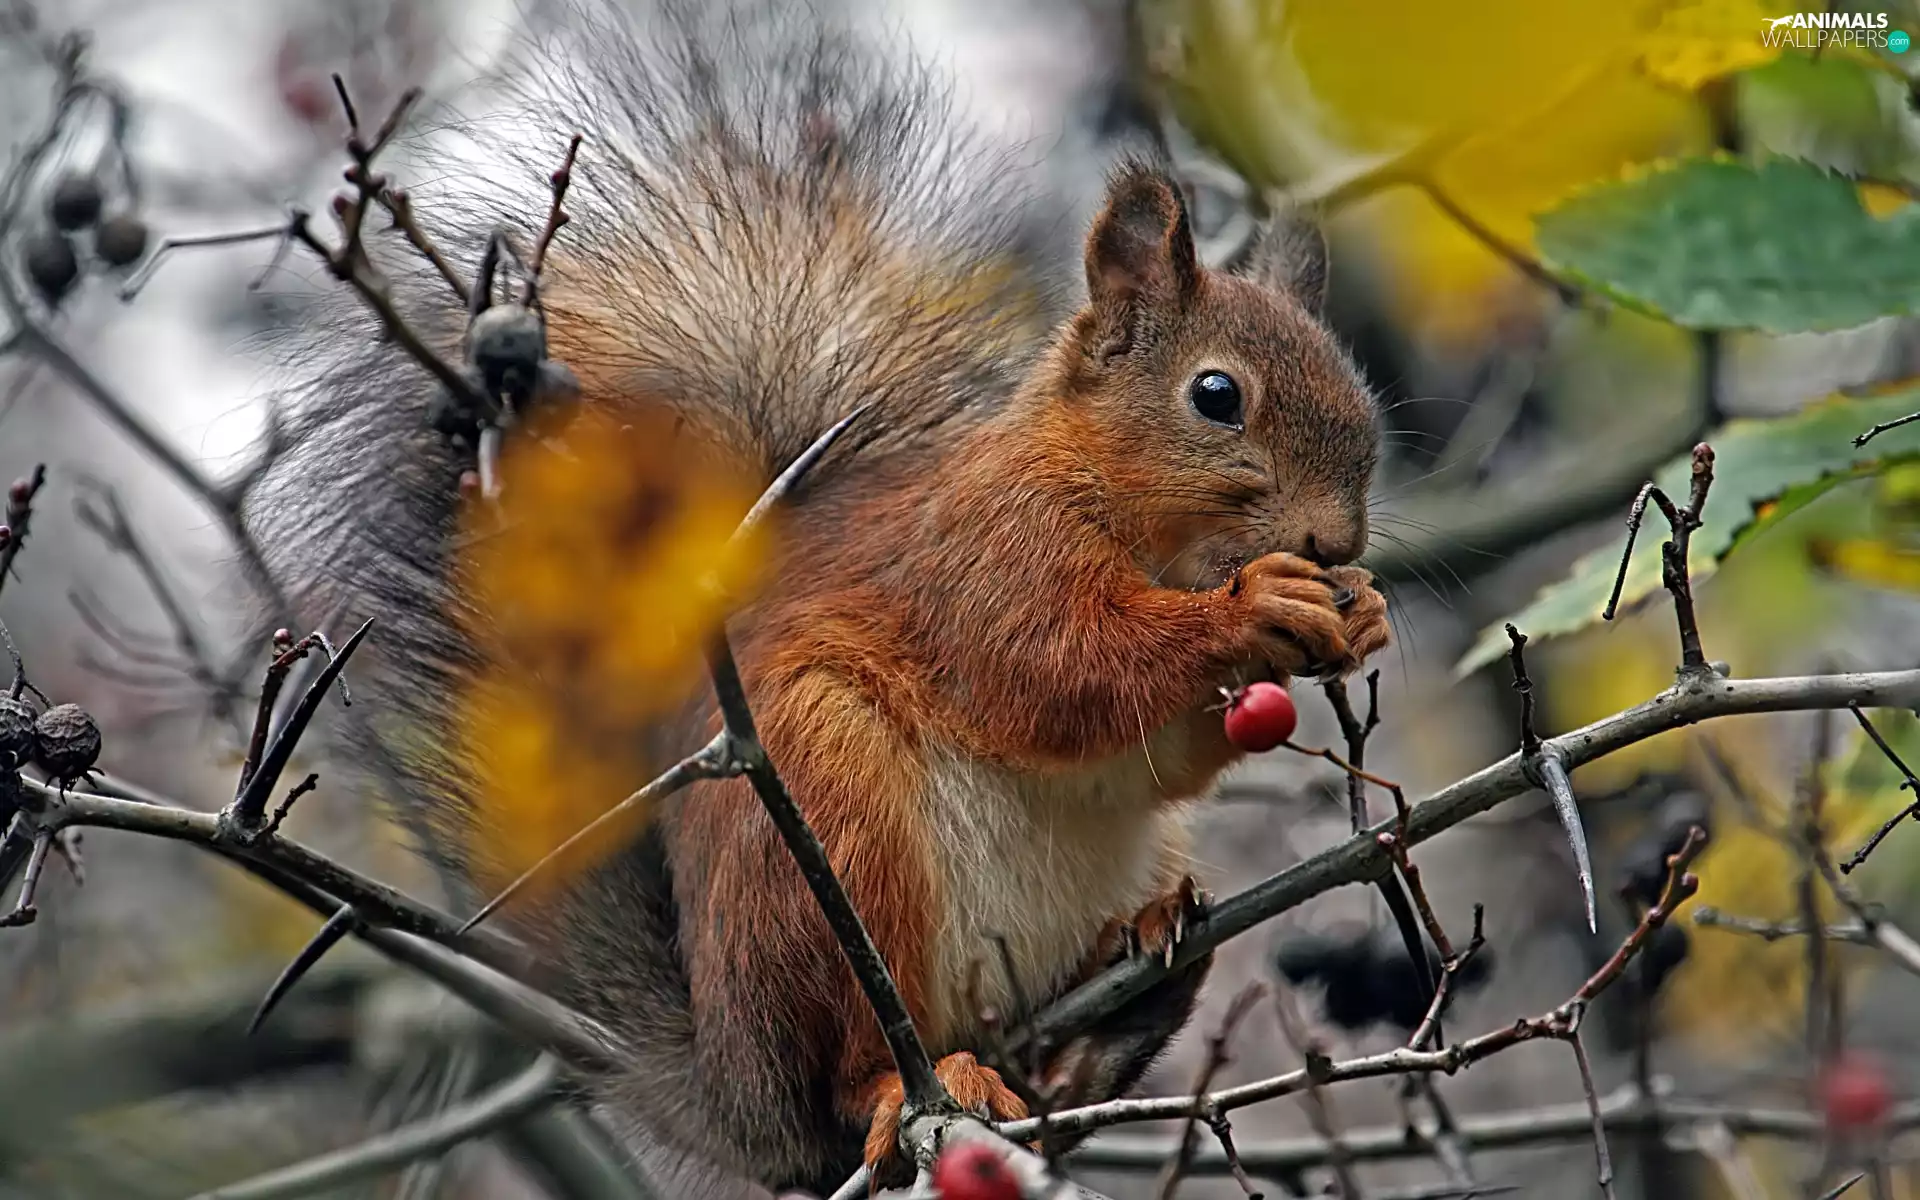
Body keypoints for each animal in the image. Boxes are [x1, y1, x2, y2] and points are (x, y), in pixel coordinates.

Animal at [251, 1, 1390, 1194]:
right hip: (824, 823)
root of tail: (739, 1095)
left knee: (1050, 1063)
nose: (1336, 541)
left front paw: (1357, 612)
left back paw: (1120, 996)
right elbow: (1060, 672)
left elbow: (1156, 754)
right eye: (1216, 396)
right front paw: (1257, 605)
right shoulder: (981, 559)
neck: (1132, 519)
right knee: (850, 1067)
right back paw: (916, 1084)